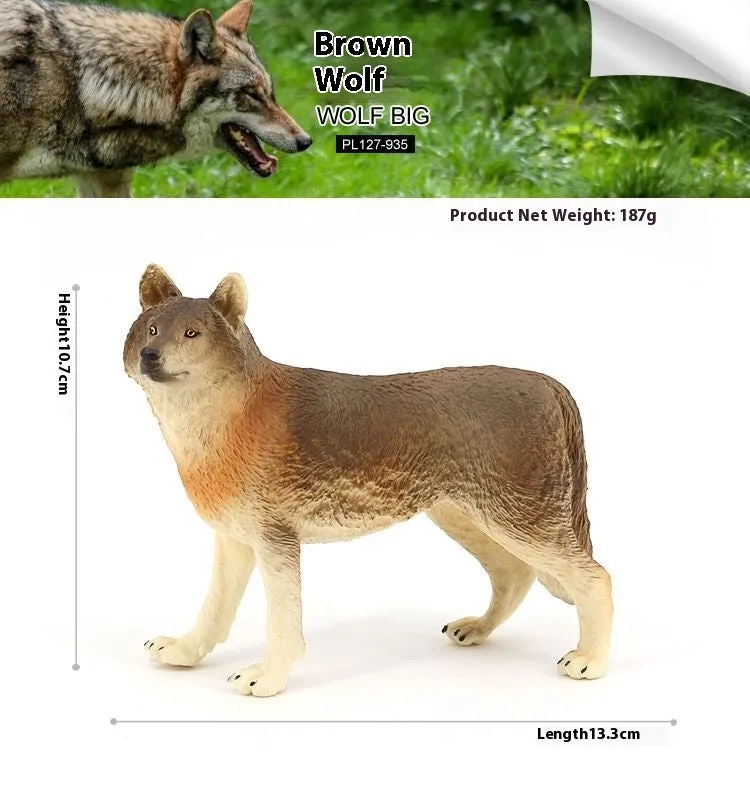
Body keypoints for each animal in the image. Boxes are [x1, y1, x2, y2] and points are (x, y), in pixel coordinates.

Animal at [124, 265, 614, 697]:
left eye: (192, 334)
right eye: (152, 330)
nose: (150, 356)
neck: (218, 423)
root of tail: (549, 384)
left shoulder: (276, 541)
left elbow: (282, 623)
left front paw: (269, 679)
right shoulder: (236, 540)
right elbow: (215, 610)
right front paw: (185, 652)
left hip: (520, 522)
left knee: (596, 578)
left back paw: (590, 659)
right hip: (464, 516)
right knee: (513, 574)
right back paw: (477, 628)